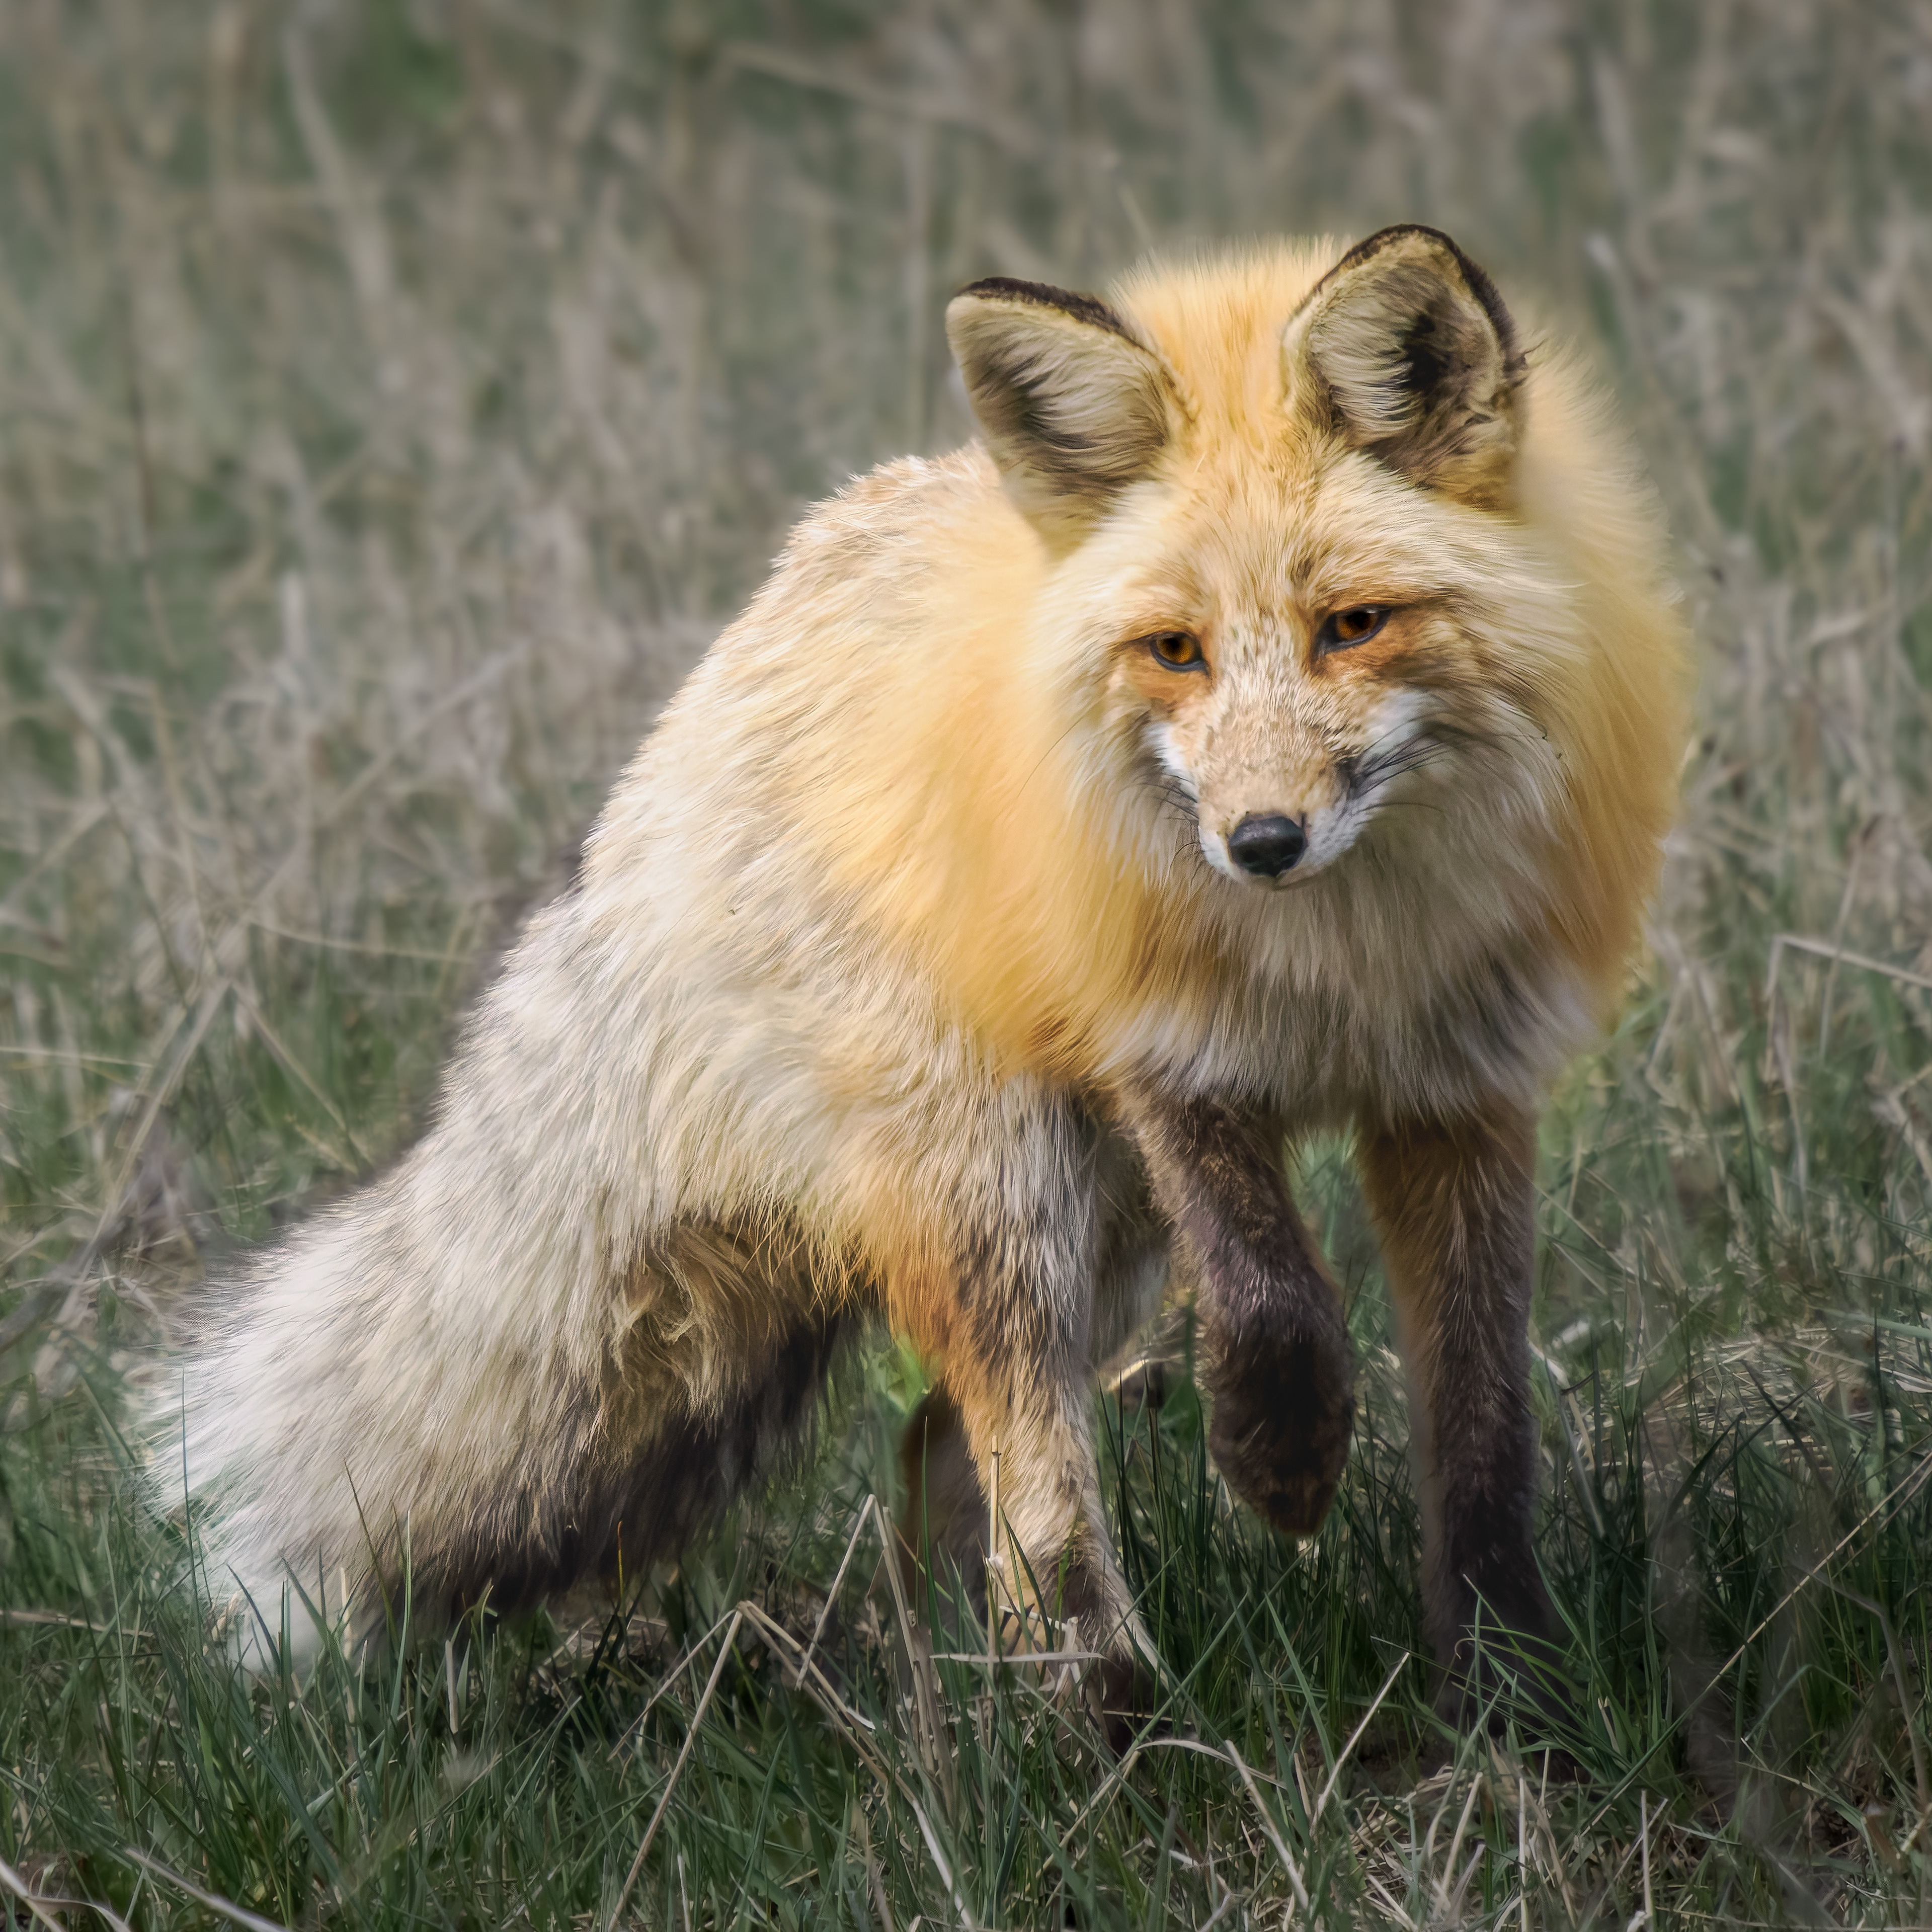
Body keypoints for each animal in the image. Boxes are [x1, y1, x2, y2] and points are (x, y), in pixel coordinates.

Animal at [148, 227, 1687, 1724]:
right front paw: (1282, 1461)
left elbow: (1483, 1430)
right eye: (1175, 651)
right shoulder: (1160, 1049)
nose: (1258, 843)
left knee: (943, 1447)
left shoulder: (1460, 1090)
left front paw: (1513, 1693)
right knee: (1021, 1462)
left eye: (1354, 626)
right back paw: (1104, 1720)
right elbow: (1272, 1302)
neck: (1339, 967)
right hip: (1002, 1187)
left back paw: (977, 1705)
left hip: (1097, 1237)